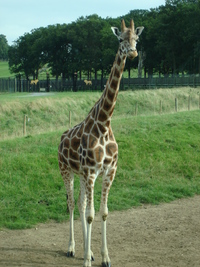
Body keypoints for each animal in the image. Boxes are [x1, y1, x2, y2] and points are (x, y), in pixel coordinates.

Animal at [57, 19, 144, 267]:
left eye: (136, 38)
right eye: (120, 39)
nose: (132, 52)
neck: (105, 123)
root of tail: (61, 138)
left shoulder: (108, 171)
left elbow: (102, 212)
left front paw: (104, 257)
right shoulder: (91, 172)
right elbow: (91, 214)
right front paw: (87, 260)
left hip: (80, 174)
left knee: (80, 204)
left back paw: (90, 250)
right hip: (66, 170)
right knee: (71, 204)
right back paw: (72, 248)